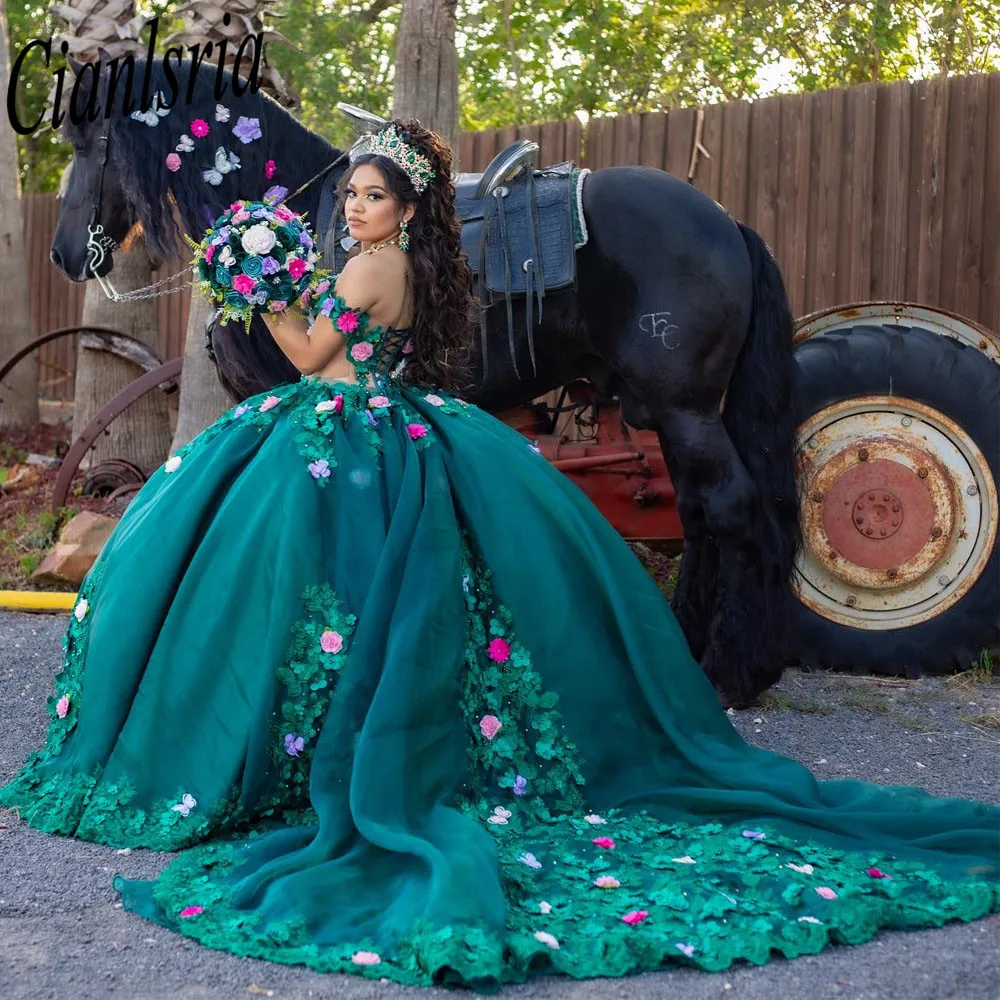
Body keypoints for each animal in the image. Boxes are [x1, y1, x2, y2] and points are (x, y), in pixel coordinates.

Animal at [48, 58, 804, 708]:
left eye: (89, 140)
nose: (63, 252)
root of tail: (726, 222)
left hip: (687, 411)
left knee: (732, 511)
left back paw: (731, 673)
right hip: (675, 415)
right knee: (700, 516)